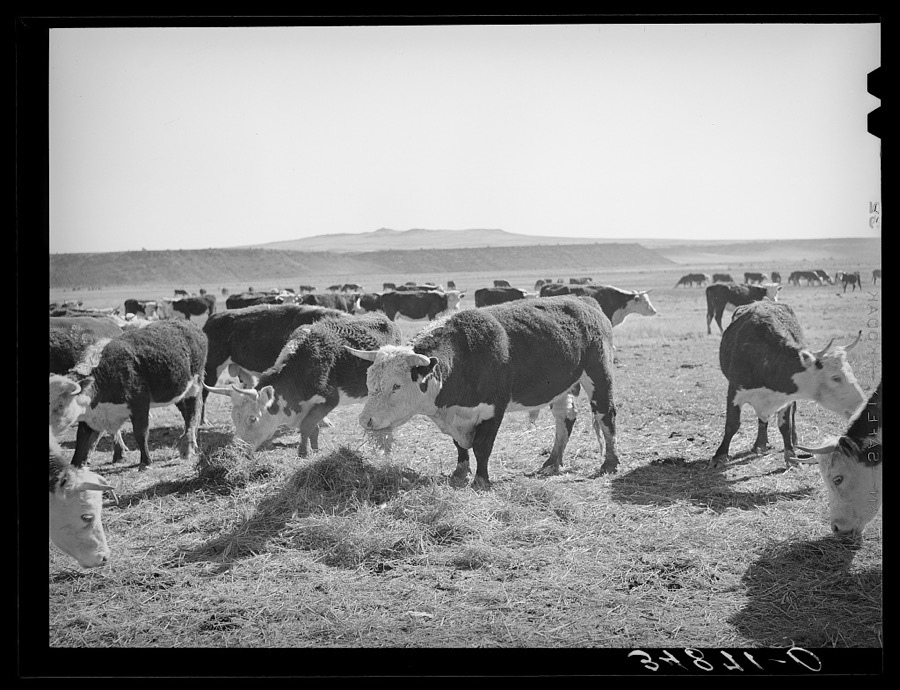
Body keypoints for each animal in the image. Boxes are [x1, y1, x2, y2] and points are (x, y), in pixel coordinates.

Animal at [48, 320, 208, 471]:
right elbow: (81, 438)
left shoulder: (139, 404)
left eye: (61, 404)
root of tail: (188, 324)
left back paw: (188, 447)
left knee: (192, 413)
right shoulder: (90, 414)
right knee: (185, 412)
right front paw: (74, 465)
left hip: (194, 385)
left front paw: (145, 462)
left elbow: (140, 433)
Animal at [205, 313, 402, 457]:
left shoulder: (328, 400)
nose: (236, 450)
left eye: (252, 418)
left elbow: (307, 426)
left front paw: (303, 452)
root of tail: (383, 317)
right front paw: (314, 450)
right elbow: (313, 428)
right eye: (233, 418)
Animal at [348, 295, 619, 490]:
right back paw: (553, 461)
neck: (464, 359)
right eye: (369, 382)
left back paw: (610, 463)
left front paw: (481, 479)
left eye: (396, 385)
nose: (366, 420)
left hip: (598, 374)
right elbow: (460, 446)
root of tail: (584, 300)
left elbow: (482, 446)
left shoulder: (493, 411)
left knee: (606, 416)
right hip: (563, 386)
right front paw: (460, 472)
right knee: (565, 419)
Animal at [710, 301, 865, 468]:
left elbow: (785, 426)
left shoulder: (787, 398)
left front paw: (790, 455)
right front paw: (720, 455)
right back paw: (760, 443)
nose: (862, 405)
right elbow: (732, 424)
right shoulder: (734, 391)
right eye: (836, 378)